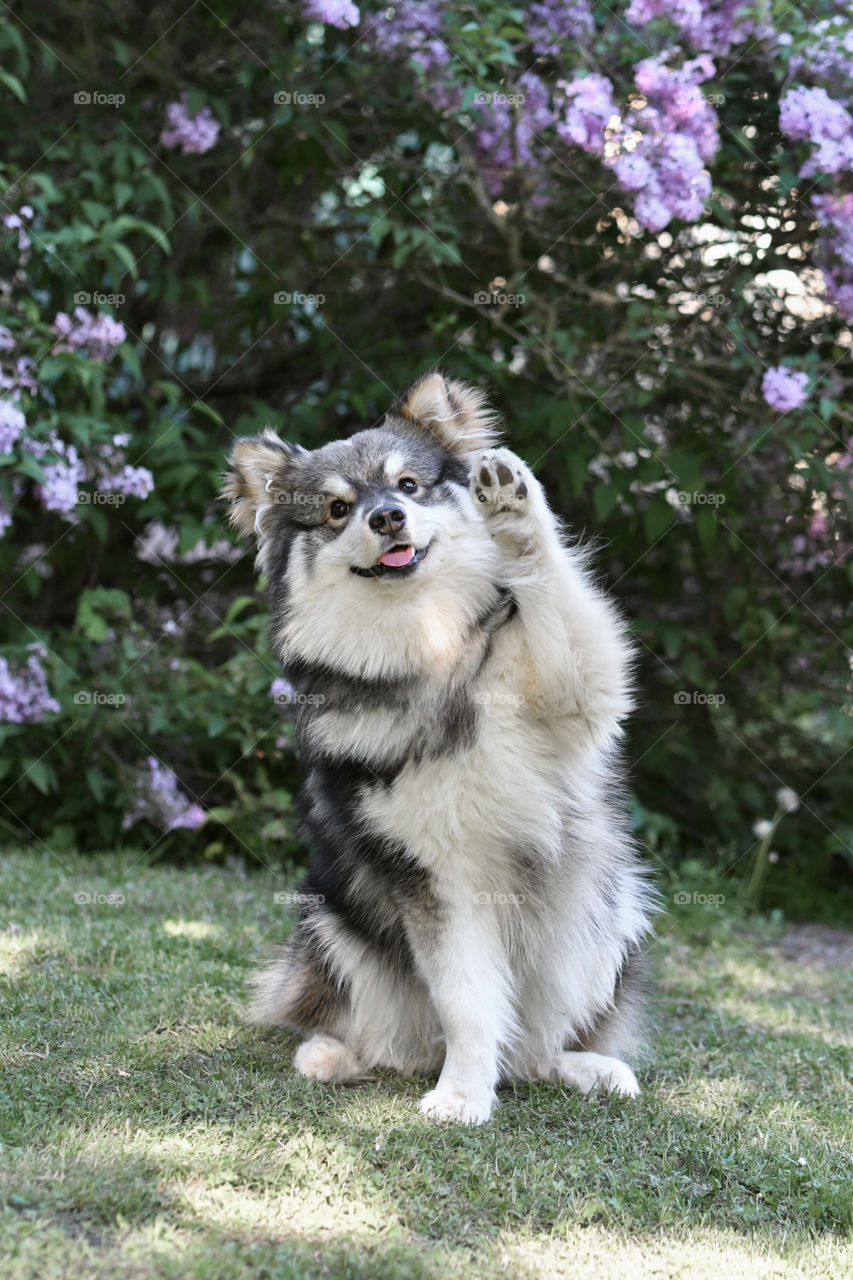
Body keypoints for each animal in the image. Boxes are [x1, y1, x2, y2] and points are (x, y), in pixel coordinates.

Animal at [222, 368, 653, 1121]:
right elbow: (467, 1002)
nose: (386, 519)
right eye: (336, 509)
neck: (430, 647)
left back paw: (586, 1069)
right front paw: (461, 1095)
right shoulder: (434, 879)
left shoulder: (578, 693)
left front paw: (513, 508)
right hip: (326, 925)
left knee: (536, 1051)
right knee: (385, 1040)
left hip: (613, 913)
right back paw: (332, 1056)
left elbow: (558, 601)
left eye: (409, 485)